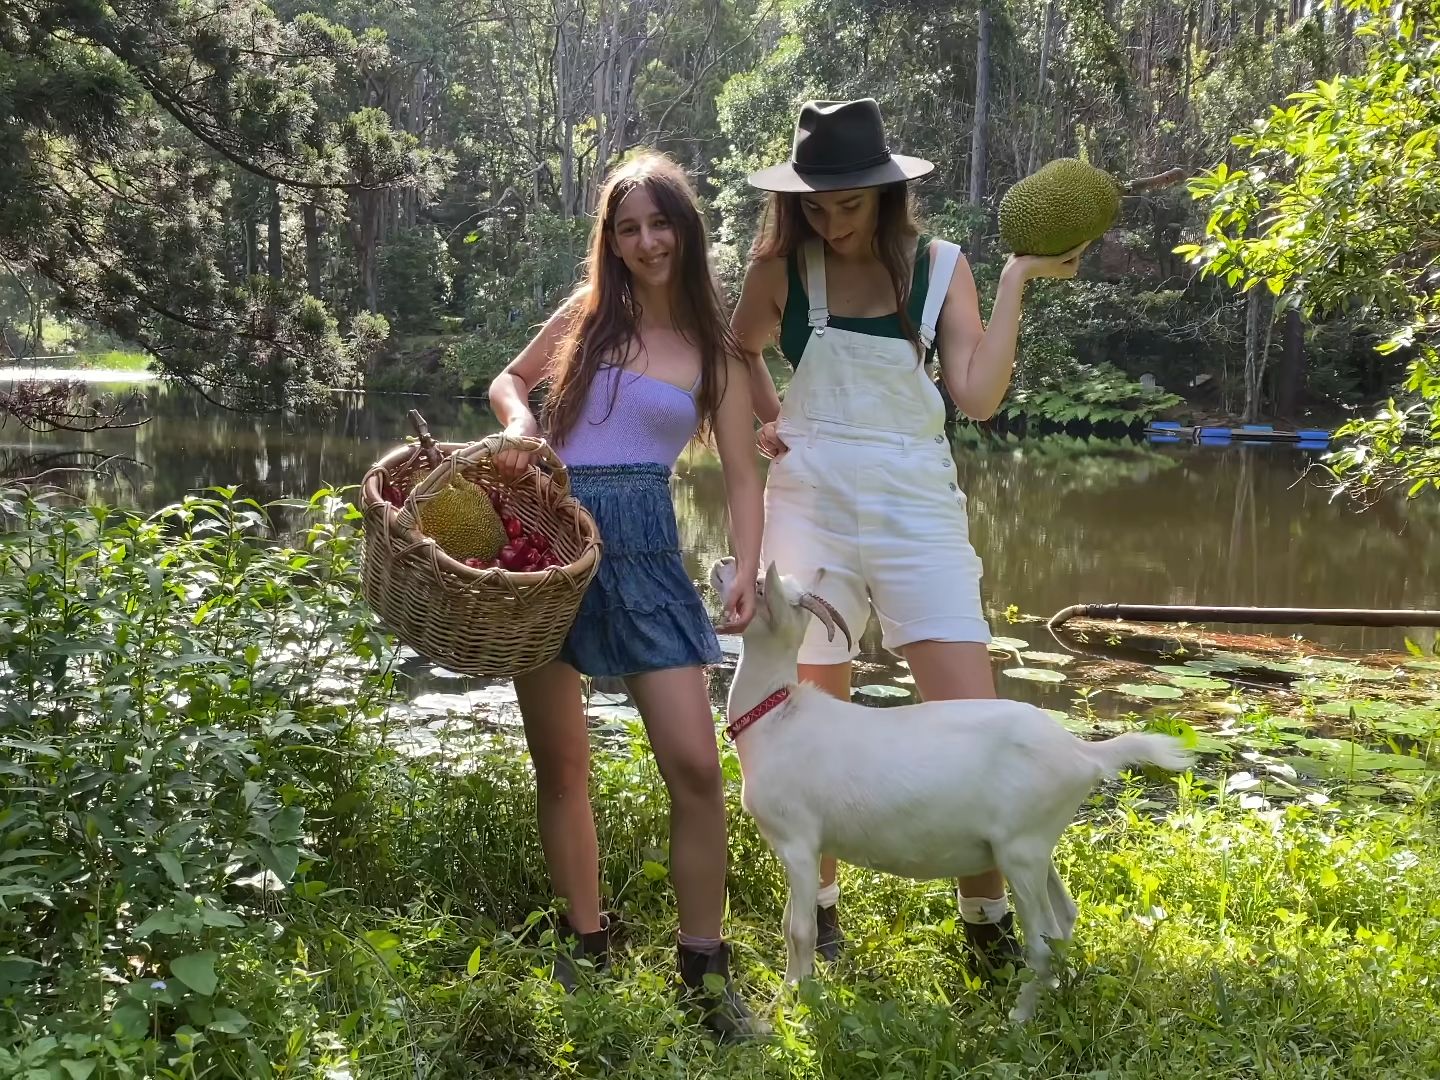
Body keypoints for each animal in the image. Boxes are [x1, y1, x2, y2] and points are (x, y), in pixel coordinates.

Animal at [708, 558, 1192, 1025]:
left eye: (758, 584)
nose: (723, 560)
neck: (775, 717)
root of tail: (1082, 752)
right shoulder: (804, 848)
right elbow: (790, 921)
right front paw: (790, 997)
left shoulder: (799, 842)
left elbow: (800, 929)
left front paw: (793, 1006)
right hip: (1035, 845)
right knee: (1065, 918)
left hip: (1021, 851)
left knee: (1042, 940)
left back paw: (1017, 1020)